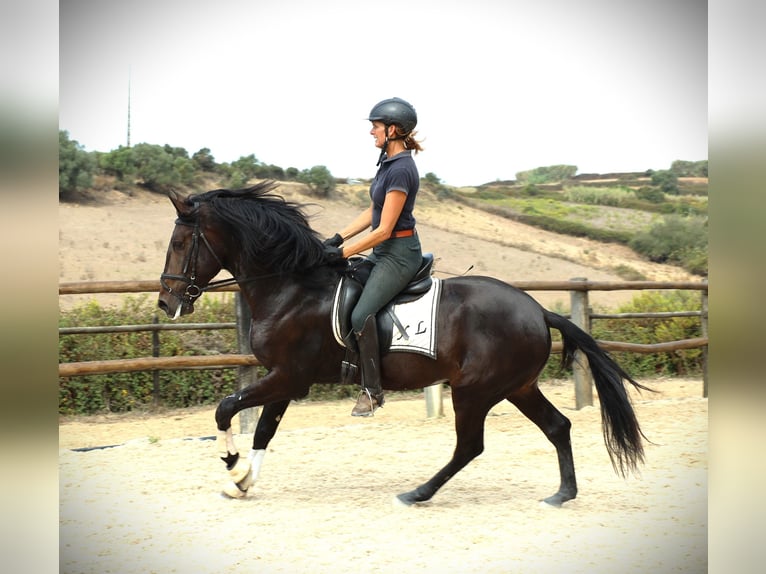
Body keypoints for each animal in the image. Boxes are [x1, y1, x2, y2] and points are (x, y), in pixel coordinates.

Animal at [159, 181, 652, 508]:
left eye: (181, 242)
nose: (166, 302)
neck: (290, 286)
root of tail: (537, 310)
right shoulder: (284, 379)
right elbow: (263, 429)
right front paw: (242, 481)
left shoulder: (289, 378)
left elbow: (226, 408)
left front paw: (232, 464)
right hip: (517, 387)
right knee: (557, 427)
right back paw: (562, 493)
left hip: (475, 391)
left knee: (470, 447)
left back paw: (418, 492)